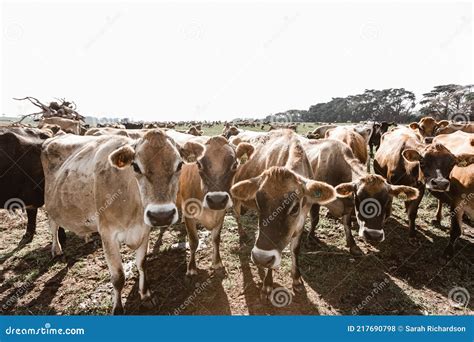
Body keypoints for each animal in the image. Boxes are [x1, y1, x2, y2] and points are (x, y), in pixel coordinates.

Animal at [41, 130, 203, 314]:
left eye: (179, 165)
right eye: (136, 166)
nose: (162, 215)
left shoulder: (144, 230)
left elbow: (142, 264)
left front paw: (145, 295)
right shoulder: (107, 235)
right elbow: (118, 277)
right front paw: (118, 308)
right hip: (50, 205)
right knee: (53, 226)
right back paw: (57, 250)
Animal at [231, 130, 336, 296]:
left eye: (295, 208)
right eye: (258, 203)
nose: (261, 258)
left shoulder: (300, 222)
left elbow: (295, 249)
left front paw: (297, 279)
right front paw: (267, 283)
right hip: (235, 198)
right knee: (237, 215)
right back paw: (242, 234)